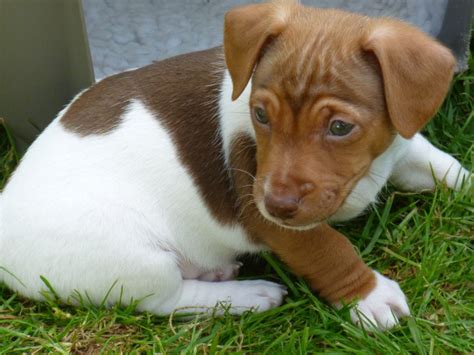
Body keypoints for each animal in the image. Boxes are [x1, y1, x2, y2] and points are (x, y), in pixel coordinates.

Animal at [0, 1, 470, 332]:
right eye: (260, 115)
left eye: (339, 127)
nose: (278, 203)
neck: (367, 170)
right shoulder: (268, 215)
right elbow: (330, 249)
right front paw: (369, 296)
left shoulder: (402, 147)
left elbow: (444, 166)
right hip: (136, 261)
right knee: (168, 301)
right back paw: (248, 295)